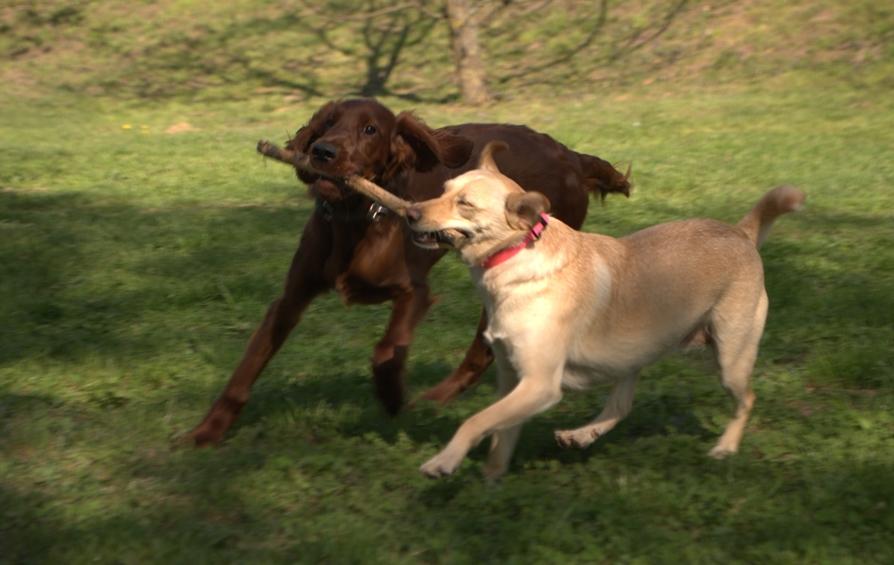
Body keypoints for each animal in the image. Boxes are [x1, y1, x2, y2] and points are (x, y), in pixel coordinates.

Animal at [181, 99, 630, 446]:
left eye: (370, 129)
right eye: (327, 123)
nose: (322, 152)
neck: (356, 218)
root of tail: (570, 156)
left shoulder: (414, 290)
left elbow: (386, 349)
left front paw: (393, 398)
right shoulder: (291, 298)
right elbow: (246, 369)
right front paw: (205, 433)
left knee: (482, 349)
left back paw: (434, 399)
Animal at [406, 142, 805, 478]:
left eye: (465, 204)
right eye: (443, 190)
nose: (410, 212)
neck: (516, 255)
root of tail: (741, 233)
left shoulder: (539, 385)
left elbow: (475, 421)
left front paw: (444, 461)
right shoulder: (511, 378)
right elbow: (500, 434)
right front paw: (491, 479)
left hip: (730, 357)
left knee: (746, 399)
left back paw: (725, 448)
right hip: (634, 353)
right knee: (621, 406)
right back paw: (581, 435)